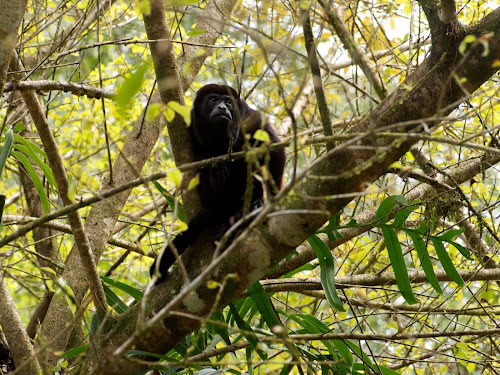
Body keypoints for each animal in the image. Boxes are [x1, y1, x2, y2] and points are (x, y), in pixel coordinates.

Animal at [150, 83, 286, 284]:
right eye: (213, 99)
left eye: (228, 102)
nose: (222, 107)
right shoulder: (191, 126)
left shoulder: (252, 118)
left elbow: (274, 150)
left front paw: (264, 200)